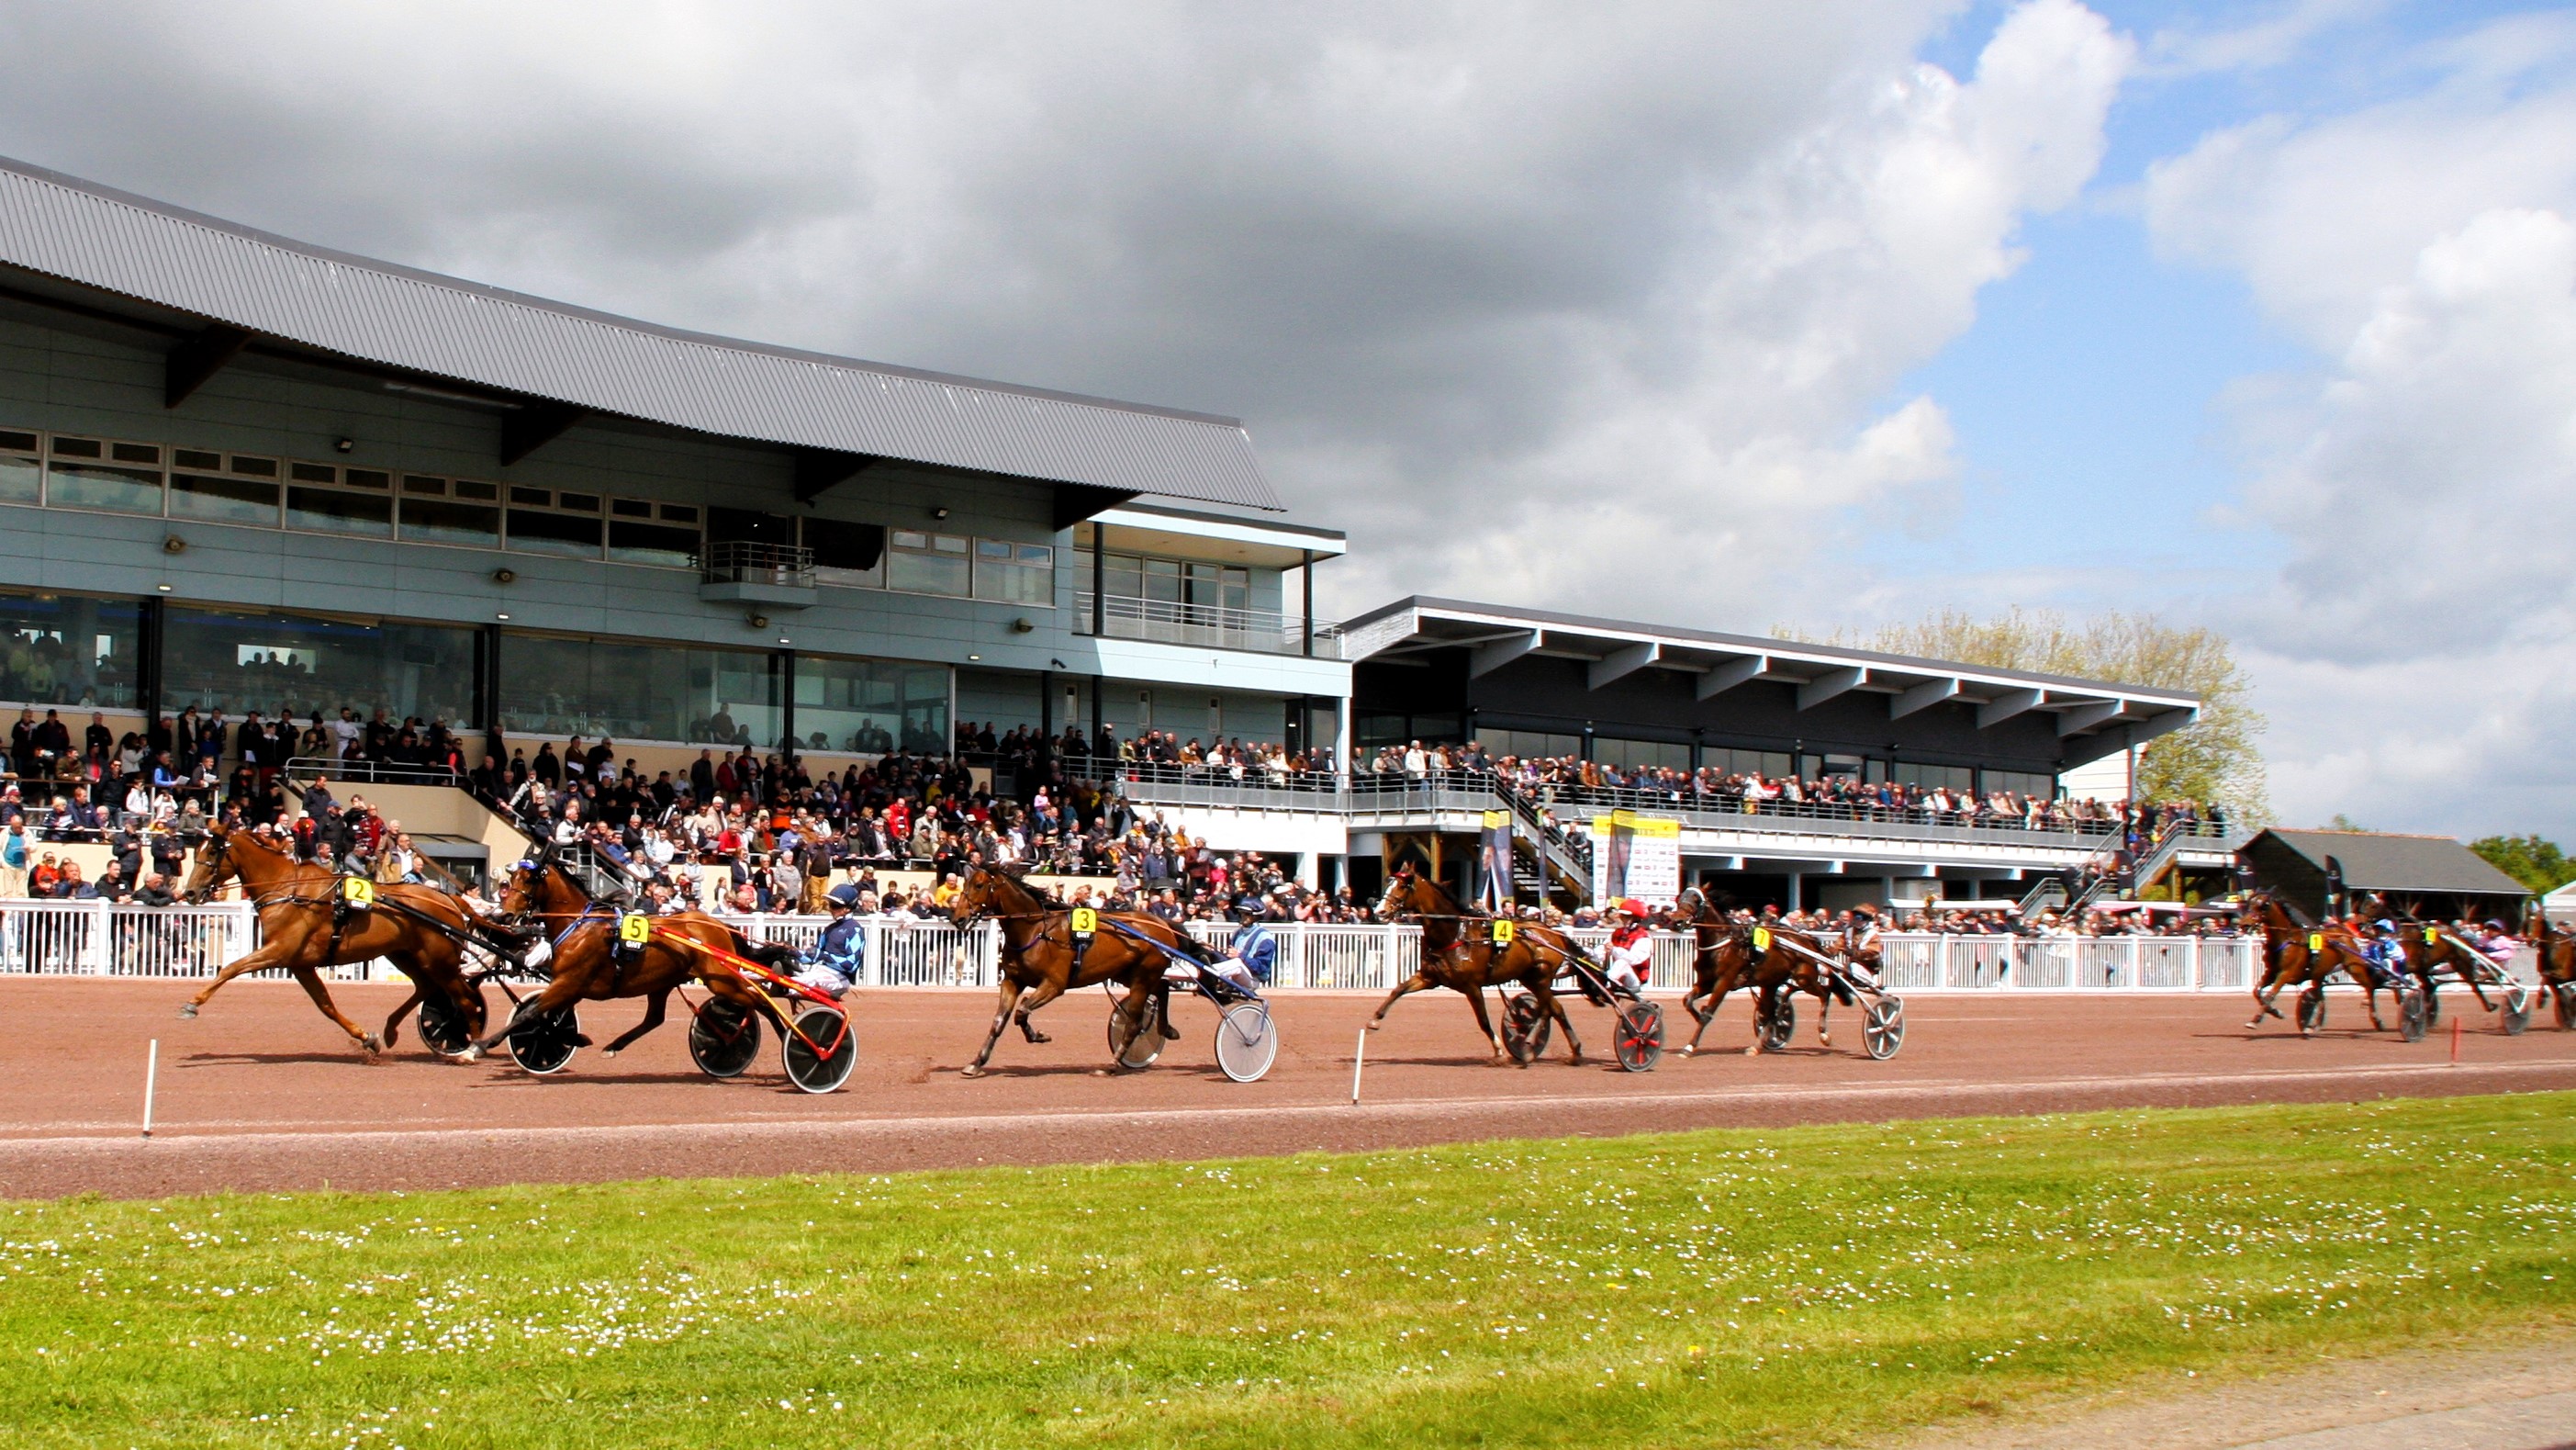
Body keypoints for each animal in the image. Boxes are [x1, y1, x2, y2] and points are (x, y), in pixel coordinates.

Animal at [180, 829, 487, 1055]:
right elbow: (326, 1006)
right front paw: (367, 1037)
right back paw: (391, 1029)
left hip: (439, 959)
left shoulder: (279, 951)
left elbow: (231, 968)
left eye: (212, 851)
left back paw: (472, 1047)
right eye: (197, 851)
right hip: (405, 954)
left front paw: (192, 1004)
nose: (190, 892)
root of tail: (450, 899)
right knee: (426, 987)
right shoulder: (300, 964)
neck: (289, 890)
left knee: (466, 999)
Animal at [474, 849, 793, 1066]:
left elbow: (529, 1013)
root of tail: (718, 926)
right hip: (664, 982)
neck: (579, 924)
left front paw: (480, 1045)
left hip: (721, 980)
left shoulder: (568, 982)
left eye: (529, 878)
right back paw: (615, 1045)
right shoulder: (569, 985)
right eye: (511, 877)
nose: (505, 915)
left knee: (762, 1002)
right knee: (655, 1018)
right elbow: (547, 1016)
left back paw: (789, 1038)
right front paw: (572, 1038)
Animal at [947, 860, 1184, 1076]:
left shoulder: (1054, 984)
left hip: (1143, 977)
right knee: (1163, 987)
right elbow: (999, 1021)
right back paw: (1166, 1029)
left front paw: (1038, 1035)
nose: (958, 919)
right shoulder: (1012, 980)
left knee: (1134, 1023)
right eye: (963, 885)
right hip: (1128, 974)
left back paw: (1111, 1065)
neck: (1035, 931)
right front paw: (976, 1063)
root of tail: (1163, 925)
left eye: (979, 885)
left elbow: (1022, 1011)